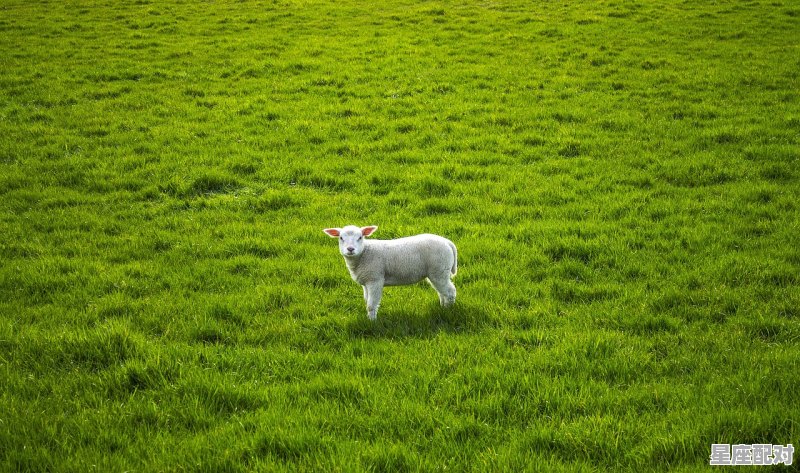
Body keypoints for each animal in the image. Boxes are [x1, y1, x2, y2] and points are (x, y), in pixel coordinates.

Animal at [320, 225, 456, 320]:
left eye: (360, 237)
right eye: (341, 238)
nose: (350, 249)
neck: (364, 253)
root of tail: (448, 242)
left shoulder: (375, 279)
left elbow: (371, 304)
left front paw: (372, 322)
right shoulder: (366, 281)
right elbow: (367, 301)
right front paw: (369, 318)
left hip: (439, 270)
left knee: (450, 291)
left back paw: (448, 311)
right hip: (437, 272)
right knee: (442, 292)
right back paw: (443, 307)